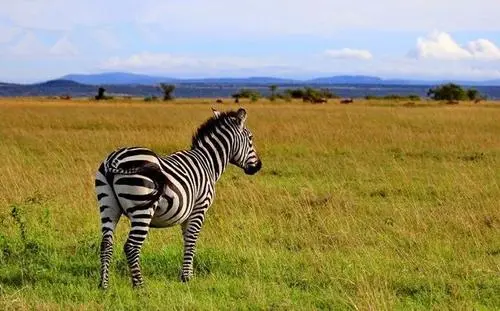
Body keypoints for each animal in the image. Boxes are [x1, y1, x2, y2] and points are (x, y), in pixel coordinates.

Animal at [95, 108, 264, 288]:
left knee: (106, 244)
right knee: (131, 246)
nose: (258, 166)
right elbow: (192, 239)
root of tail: (114, 159)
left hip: (108, 206)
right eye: (251, 138)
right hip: (143, 209)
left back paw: (104, 285)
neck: (208, 162)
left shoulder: (187, 213)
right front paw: (187, 278)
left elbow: (187, 241)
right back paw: (140, 286)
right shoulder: (200, 207)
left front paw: (186, 274)